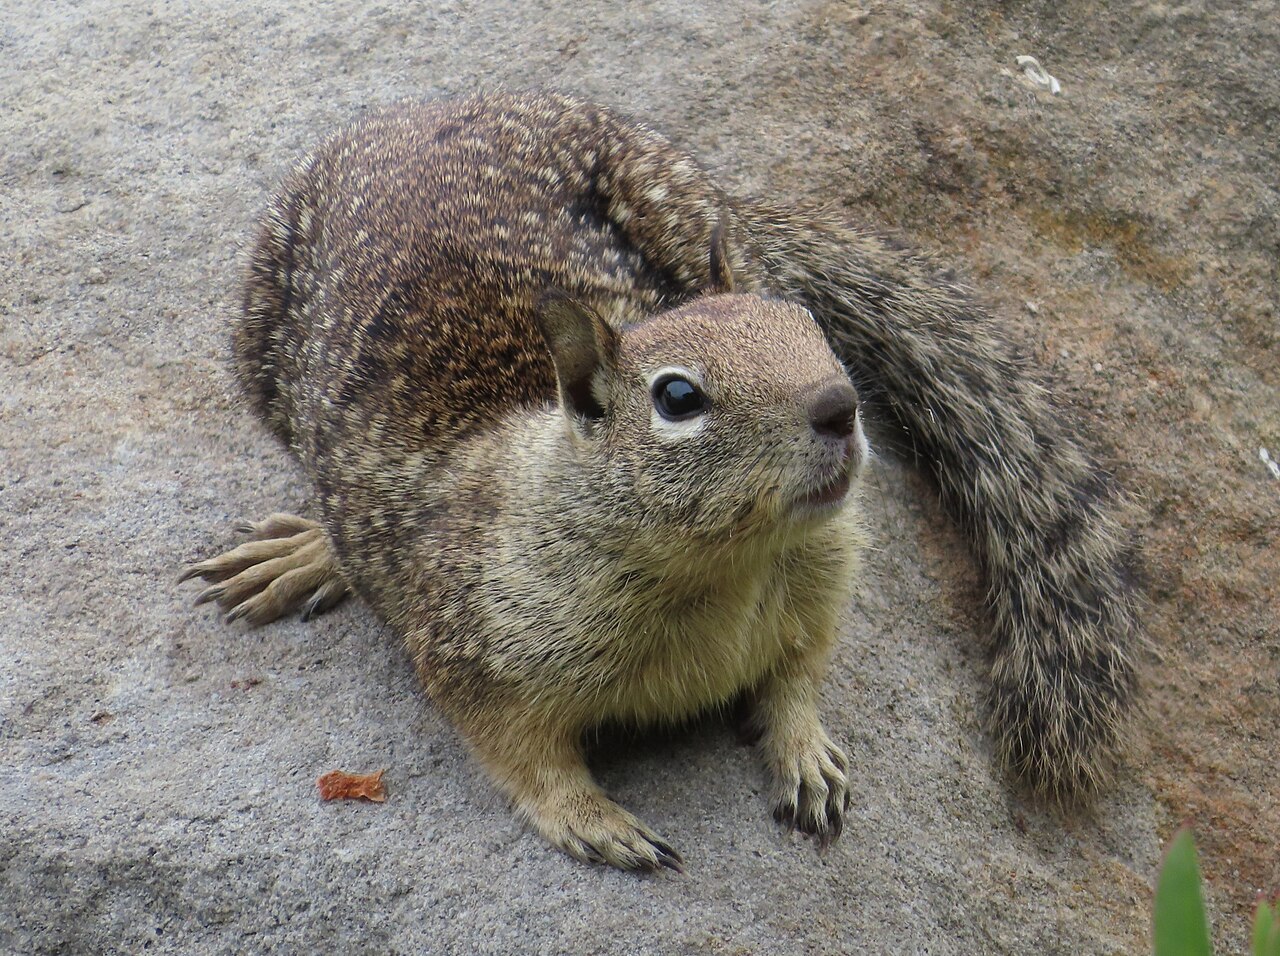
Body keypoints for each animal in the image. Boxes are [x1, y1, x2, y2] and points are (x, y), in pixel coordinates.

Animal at [182, 90, 1139, 868]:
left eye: (805, 324)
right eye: (678, 396)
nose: (840, 406)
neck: (724, 568)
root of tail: (421, 109)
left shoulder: (824, 580)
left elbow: (800, 673)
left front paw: (807, 753)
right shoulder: (472, 647)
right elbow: (519, 754)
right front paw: (595, 821)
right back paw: (307, 552)